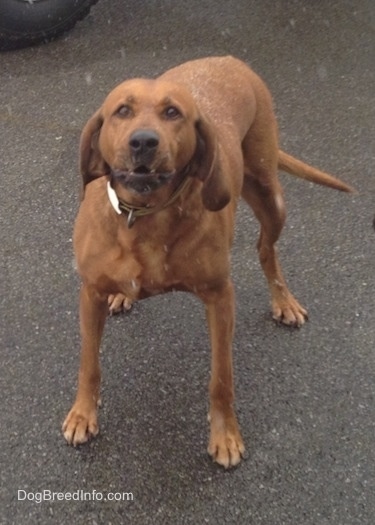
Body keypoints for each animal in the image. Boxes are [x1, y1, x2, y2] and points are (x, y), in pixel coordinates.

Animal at [62, 56, 356, 466]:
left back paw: (284, 301)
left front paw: (226, 435)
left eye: (173, 113)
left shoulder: (219, 297)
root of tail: (229, 60)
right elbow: (89, 365)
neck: (145, 217)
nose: (143, 142)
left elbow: (221, 378)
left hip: (271, 195)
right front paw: (82, 414)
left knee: (266, 250)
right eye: (123, 110)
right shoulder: (89, 293)